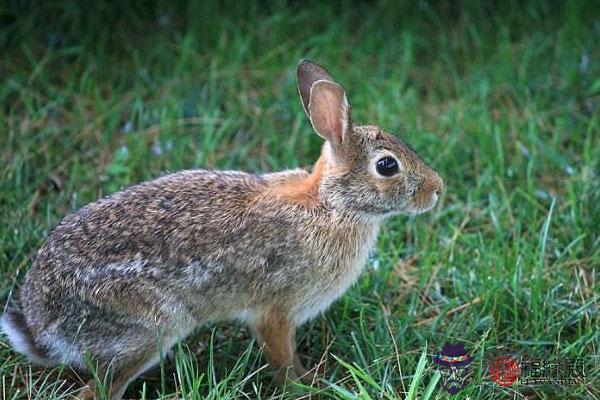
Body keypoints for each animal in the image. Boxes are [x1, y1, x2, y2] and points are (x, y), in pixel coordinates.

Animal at [0, 60, 440, 400]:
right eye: (387, 165)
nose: (438, 189)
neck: (331, 206)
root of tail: (43, 327)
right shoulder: (274, 310)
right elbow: (283, 360)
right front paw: (305, 387)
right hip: (150, 327)